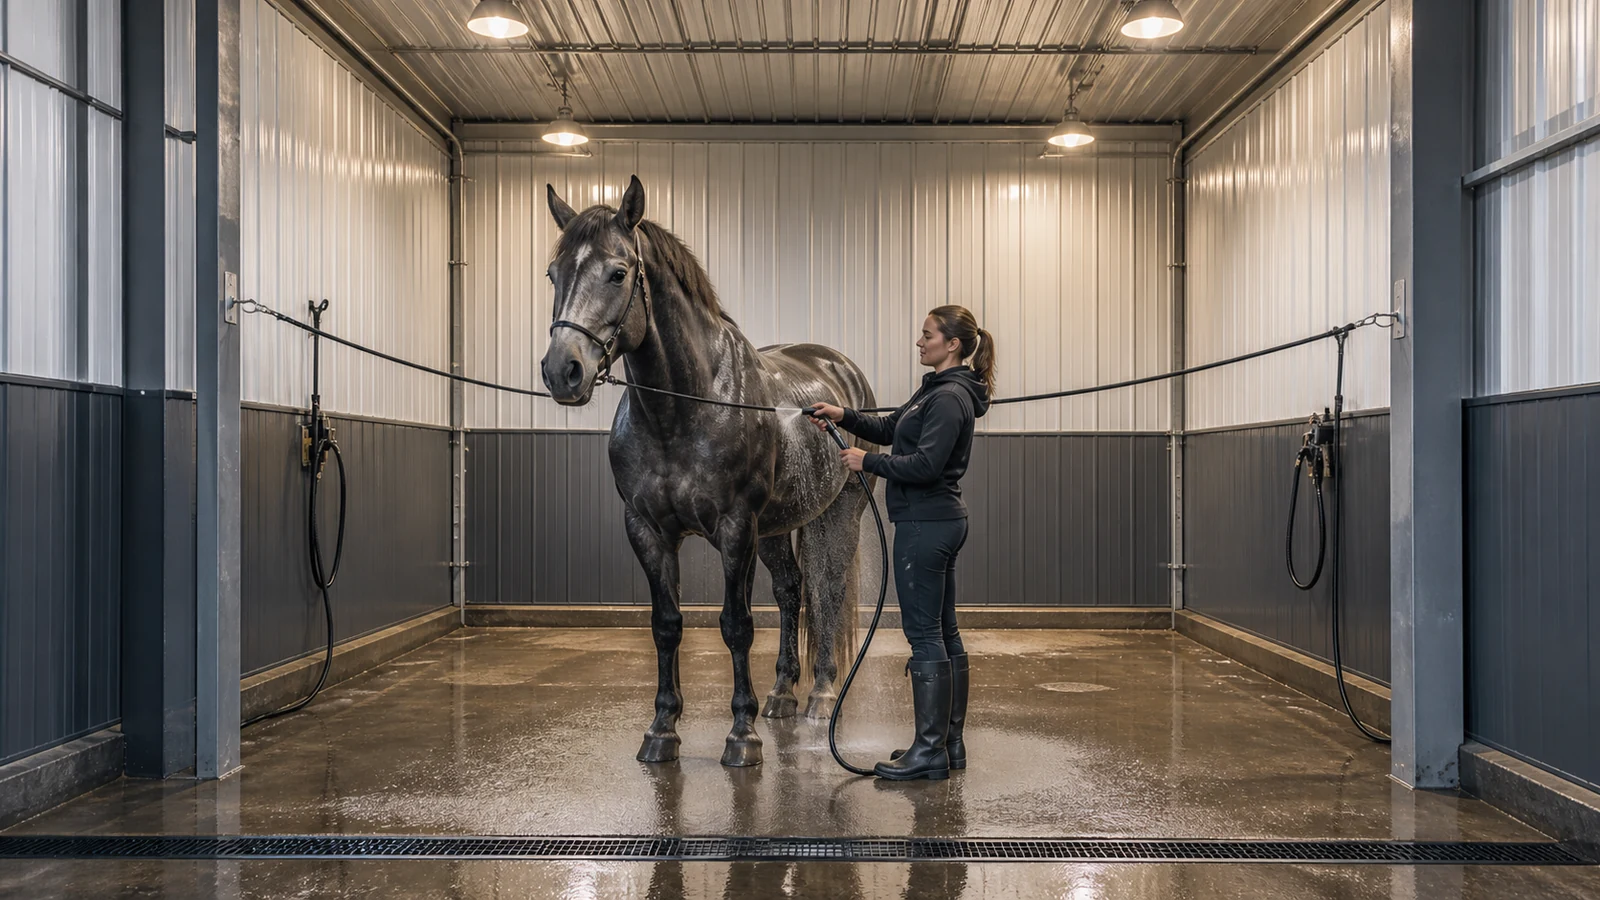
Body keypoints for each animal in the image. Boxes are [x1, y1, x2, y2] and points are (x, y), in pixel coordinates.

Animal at [539, 175, 876, 767]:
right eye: (553, 274)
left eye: (618, 272)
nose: (564, 371)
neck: (682, 410)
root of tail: (840, 369)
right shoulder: (648, 531)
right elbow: (667, 625)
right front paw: (661, 731)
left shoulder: (736, 529)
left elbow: (736, 625)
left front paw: (741, 736)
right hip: (778, 527)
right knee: (791, 591)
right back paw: (782, 694)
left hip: (836, 516)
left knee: (828, 591)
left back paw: (819, 696)